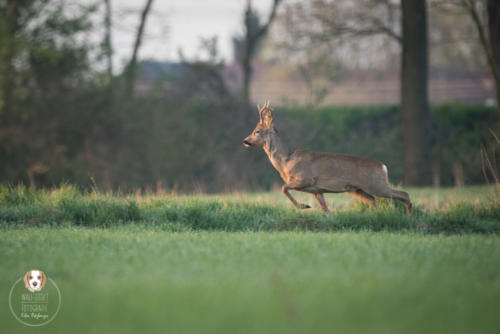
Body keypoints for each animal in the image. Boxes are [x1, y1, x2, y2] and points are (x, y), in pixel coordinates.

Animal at [244, 100, 412, 214]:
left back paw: (409, 216)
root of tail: (383, 166)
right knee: (373, 200)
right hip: (357, 189)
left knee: (404, 194)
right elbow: (326, 210)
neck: (286, 163)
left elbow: (283, 188)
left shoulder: (305, 179)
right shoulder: (317, 190)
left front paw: (304, 206)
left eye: (257, 131)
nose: (245, 141)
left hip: (375, 184)